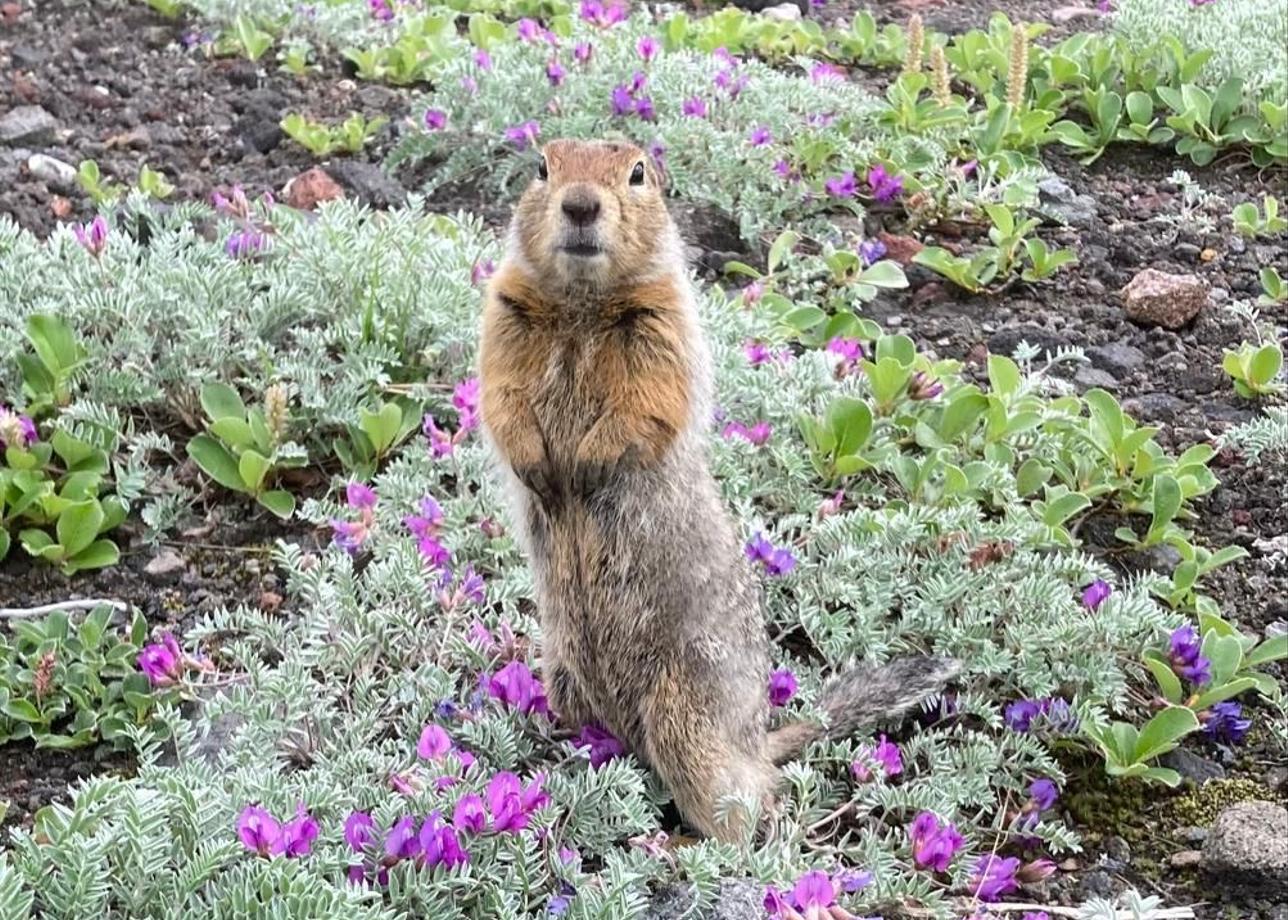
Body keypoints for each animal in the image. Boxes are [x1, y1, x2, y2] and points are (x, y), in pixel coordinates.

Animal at [479, 134, 963, 840]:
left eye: (637, 173)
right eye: (543, 166)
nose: (579, 204)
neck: (581, 304)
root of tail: (756, 740)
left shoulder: (666, 323)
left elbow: (648, 402)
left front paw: (586, 466)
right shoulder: (504, 314)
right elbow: (501, 396)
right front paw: (541, 468)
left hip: (686, 714)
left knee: (749, 799)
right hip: (563, 670)